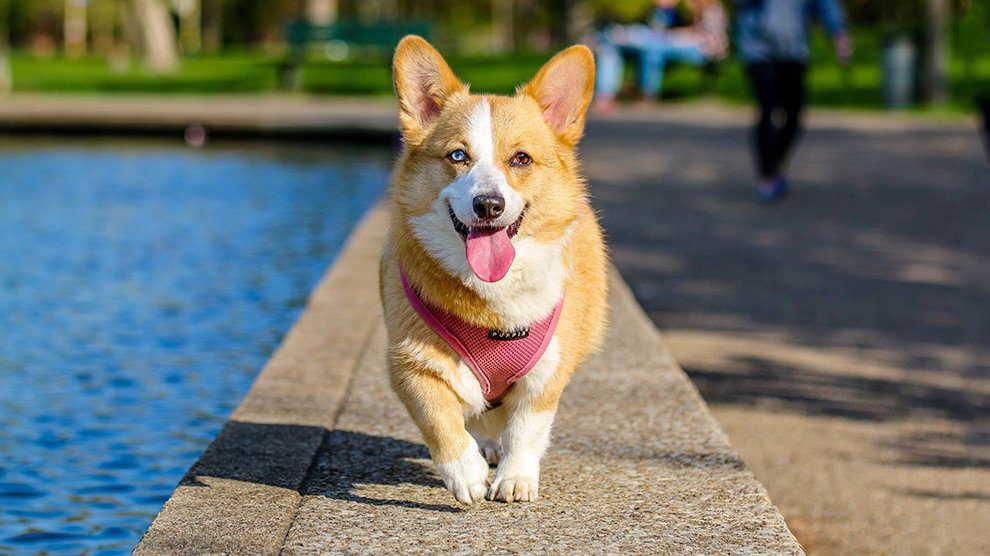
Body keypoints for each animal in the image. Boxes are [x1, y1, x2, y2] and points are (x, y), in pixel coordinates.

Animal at [382, 35, 608, 504]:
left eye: (521, 159)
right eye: (457, 155)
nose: (489, 205)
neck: (494, 300)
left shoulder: (547, 373)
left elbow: (526, 428)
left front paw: (515, 479)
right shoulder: (410, 364)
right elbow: (439, 420)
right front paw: (465, 473)